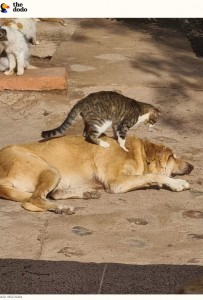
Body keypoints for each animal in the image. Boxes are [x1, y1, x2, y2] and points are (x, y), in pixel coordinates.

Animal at [0, 136, 193, 213]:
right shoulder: (117, 183)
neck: (135, 152)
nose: (192, 166)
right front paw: (176, 183)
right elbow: (152, 176)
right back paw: (61, 208)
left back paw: (85, 193)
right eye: (172, 156)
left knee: (51, 195)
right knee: (34, 199)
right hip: (50, 170)